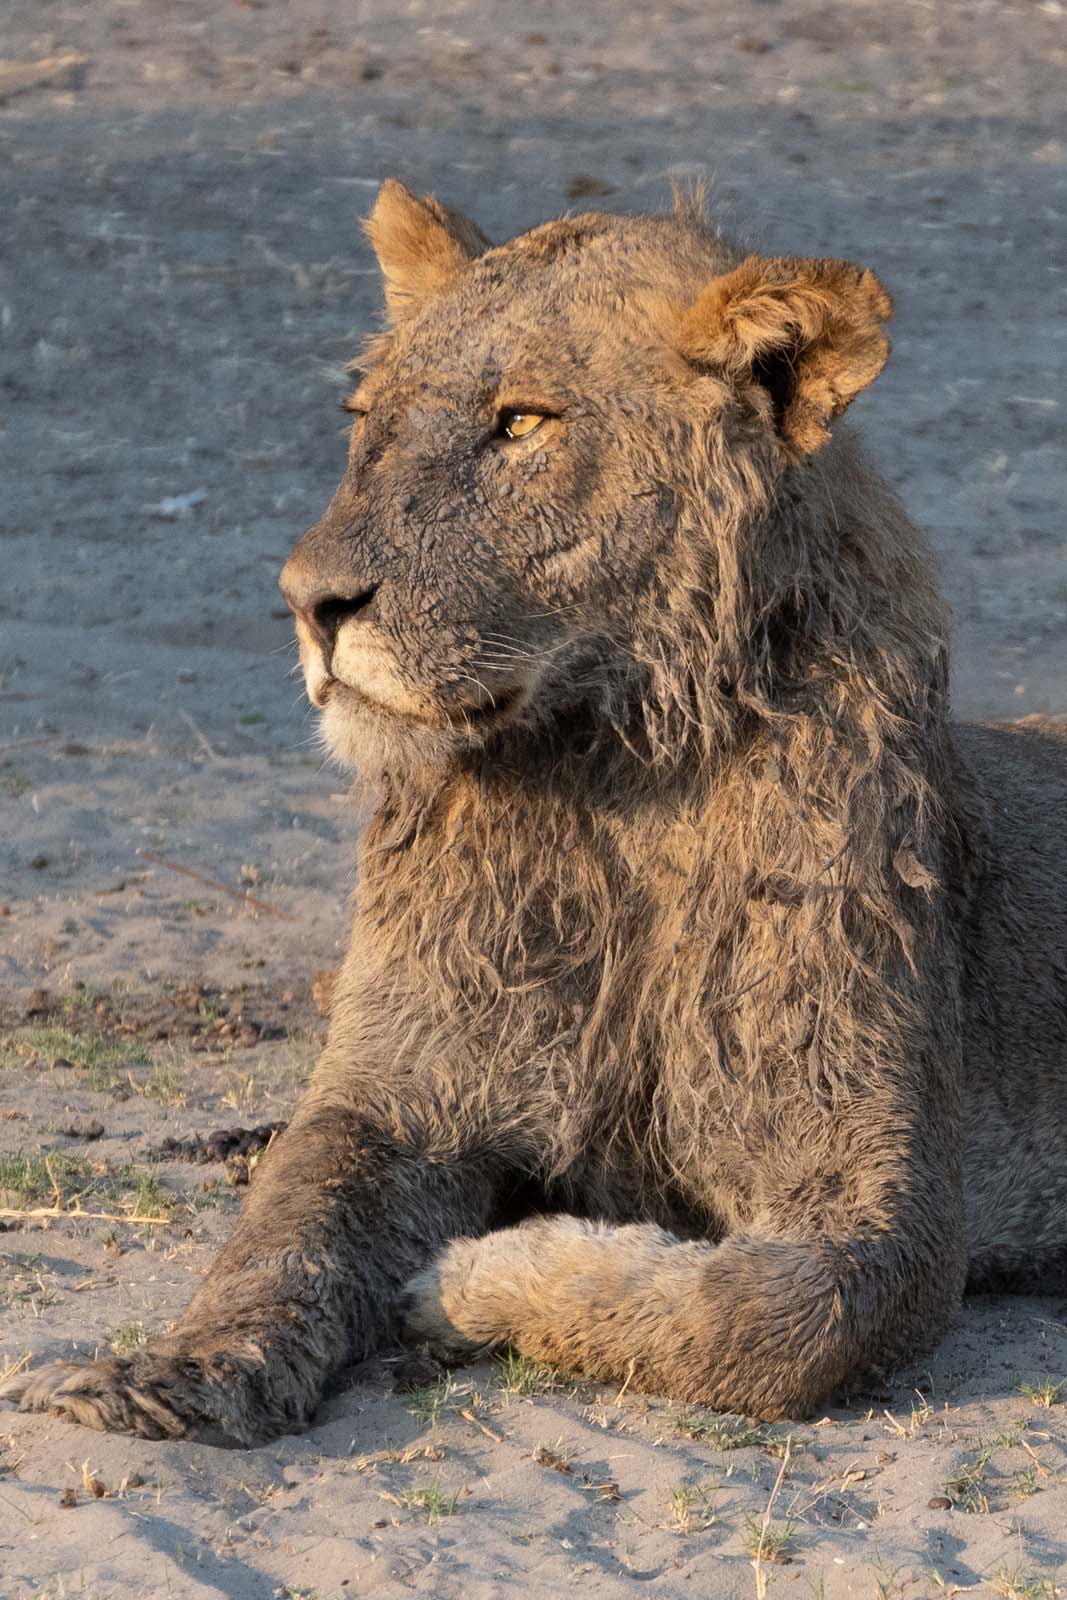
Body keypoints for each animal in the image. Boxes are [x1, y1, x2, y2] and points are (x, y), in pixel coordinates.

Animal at [4, 181, 1066, 1444]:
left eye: (519, 423)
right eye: (364, 416)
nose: (308, 604)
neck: (614, 779)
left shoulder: (880, 1188)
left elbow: (764, 1320)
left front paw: (473, 1276)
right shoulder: (398, 1088)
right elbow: (283, 1234)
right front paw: (162, 1377)